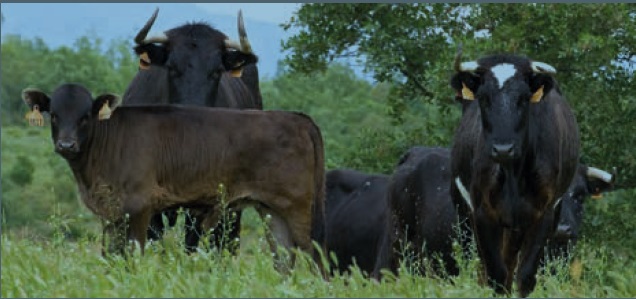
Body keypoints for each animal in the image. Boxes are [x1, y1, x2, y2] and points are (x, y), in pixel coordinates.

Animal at [450, 48, 580, 298]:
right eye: (483, 98)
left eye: (523, 98)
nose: (503, 148)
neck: (514, 175)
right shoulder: (483, 213)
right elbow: (495, 274)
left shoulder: (544, 214)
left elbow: (526, 276)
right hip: (466, 212)